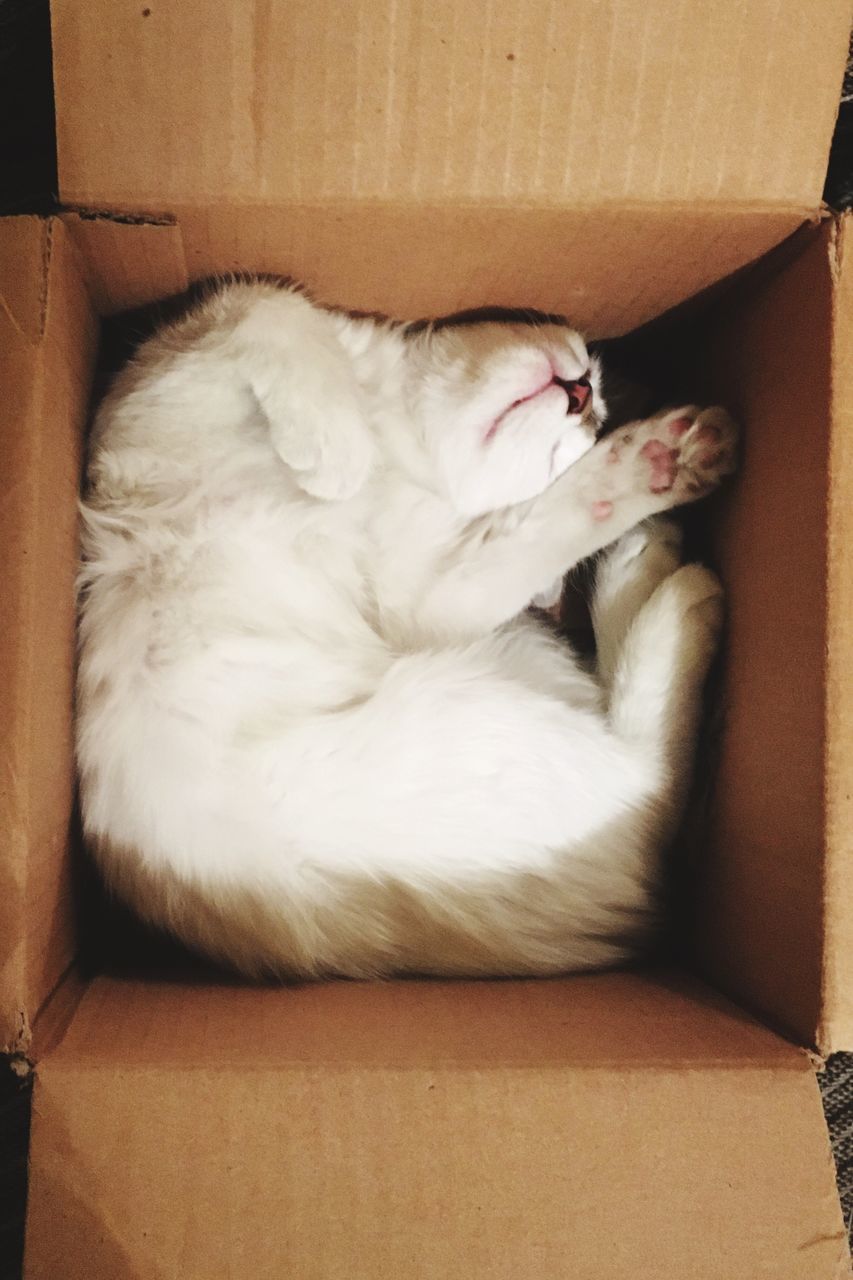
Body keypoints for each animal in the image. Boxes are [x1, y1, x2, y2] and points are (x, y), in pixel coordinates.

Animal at [76, 282, 732, 977]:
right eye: (594, 408)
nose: (584, 394)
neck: (395, 439)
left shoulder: (429, 596)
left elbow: (567, 514)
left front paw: (657, 461)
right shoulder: (159, 377)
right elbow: (278, 309)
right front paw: (338, 450)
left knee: (653, 777)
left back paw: (669, 567)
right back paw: (656, 557)